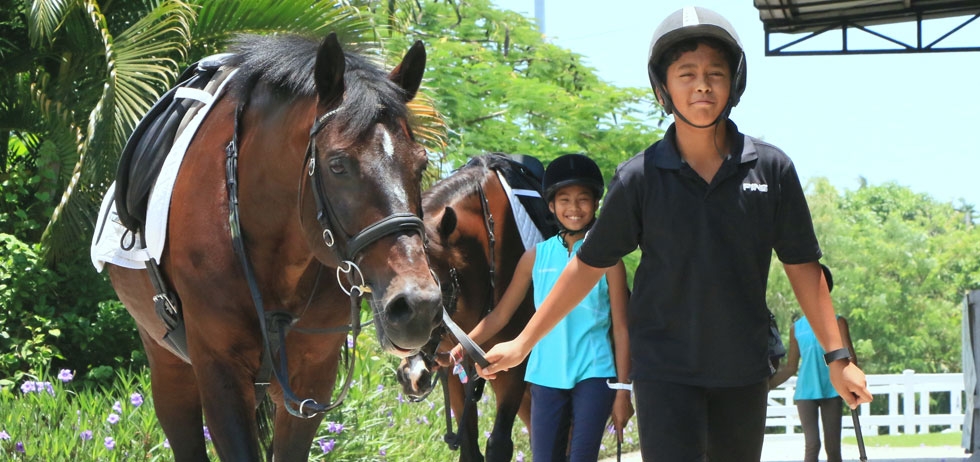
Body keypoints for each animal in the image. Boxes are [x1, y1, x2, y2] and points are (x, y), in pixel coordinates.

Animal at [106, 34, 440, 460]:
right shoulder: (220, 373)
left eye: (420, 164)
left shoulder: (312, 378)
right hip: (167, 361)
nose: (418, 305)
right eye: (337, 164)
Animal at [396, 155, 552, 462]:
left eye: (441, 288)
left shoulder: (513, 367)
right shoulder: (452, 365)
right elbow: (469, 446)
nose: (411, 375)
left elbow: (499, 445)